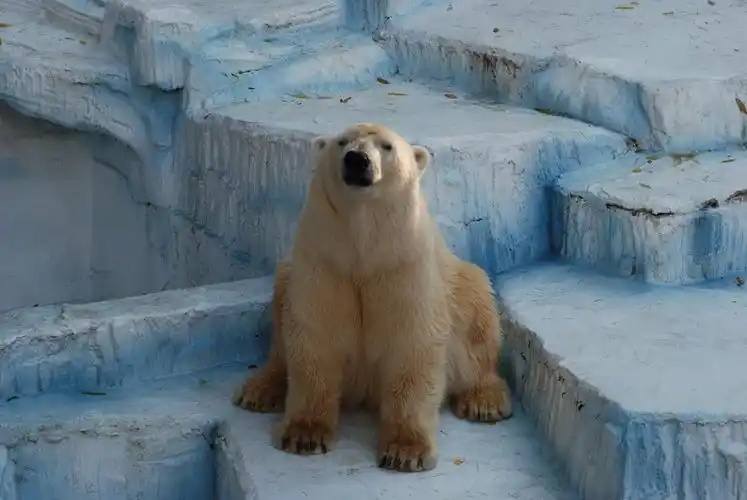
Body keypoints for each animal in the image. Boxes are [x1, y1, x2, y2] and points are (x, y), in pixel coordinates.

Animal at [232, 123, 513, 472]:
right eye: (342, 142)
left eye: (387, 146)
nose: (357, 159)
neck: (363, 241)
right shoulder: (325, 259)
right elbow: (316, 334)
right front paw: (304, 435)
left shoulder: (403, 263)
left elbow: (412, 342)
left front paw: (406, 451)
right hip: (288, 276)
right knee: (281, 317)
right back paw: (259, 390)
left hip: (461, 287)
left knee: (478, 317)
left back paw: (483, 401)